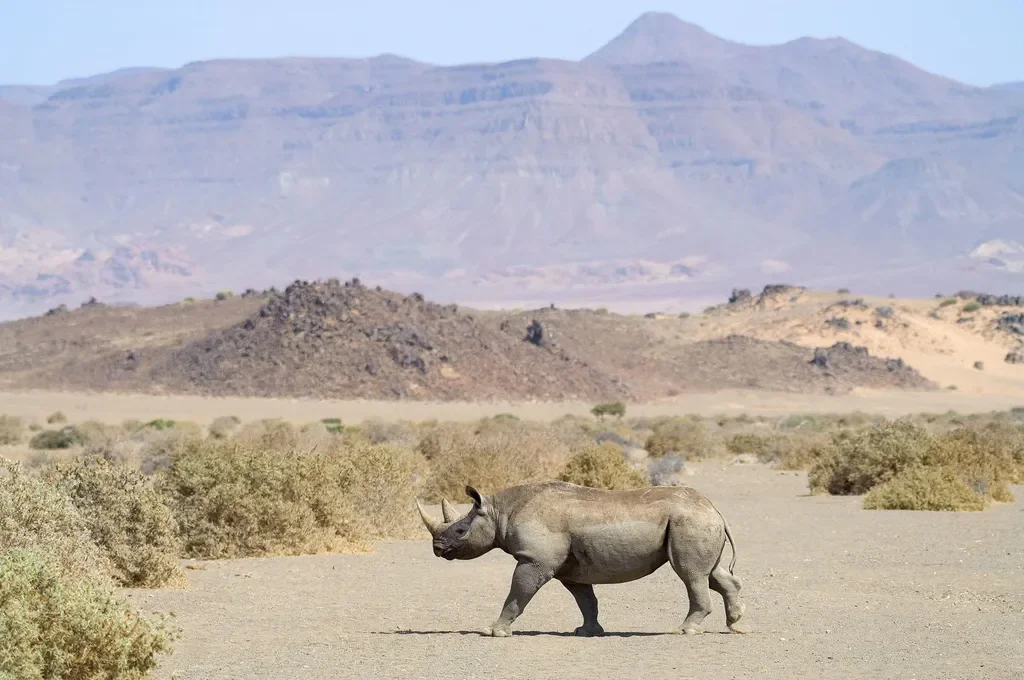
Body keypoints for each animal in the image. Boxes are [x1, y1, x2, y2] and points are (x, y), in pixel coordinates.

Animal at [416, 481, 744, 637]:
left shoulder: (534, 560)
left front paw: (493, 631)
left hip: (689, 522)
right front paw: (588, 631)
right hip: (695, 522)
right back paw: (736, 624)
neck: (499, 512)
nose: (437, 547)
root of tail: (714, 508)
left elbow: (517, 593)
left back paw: (685, 630)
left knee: (690, 574)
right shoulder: (570, 569)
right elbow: (586, 600)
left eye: (460, 531)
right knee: (711, 574)